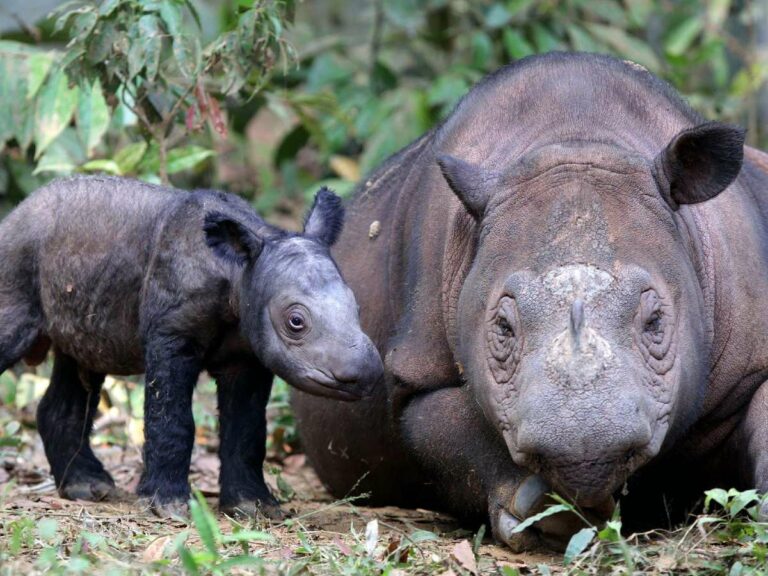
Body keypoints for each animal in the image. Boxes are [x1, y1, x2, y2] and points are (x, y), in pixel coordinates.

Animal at [0, 176, 383, 518]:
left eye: (357, 307)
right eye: (296, 321)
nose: (365, 373)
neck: (239, 271)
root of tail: (15, 213)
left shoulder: (248, 352)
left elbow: (247, 429)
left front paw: (253, 507)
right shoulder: (172, 334)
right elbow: (172, 419)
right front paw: (166, 506)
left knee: (79, 365)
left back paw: (86, 487)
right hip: (16, 257)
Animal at [291, 52, 768, 548]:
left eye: (655, 321)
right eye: (503, 329)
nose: (585, 453)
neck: (578, 135)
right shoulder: (415, 372)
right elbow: (444, 426)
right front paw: (547, 512)